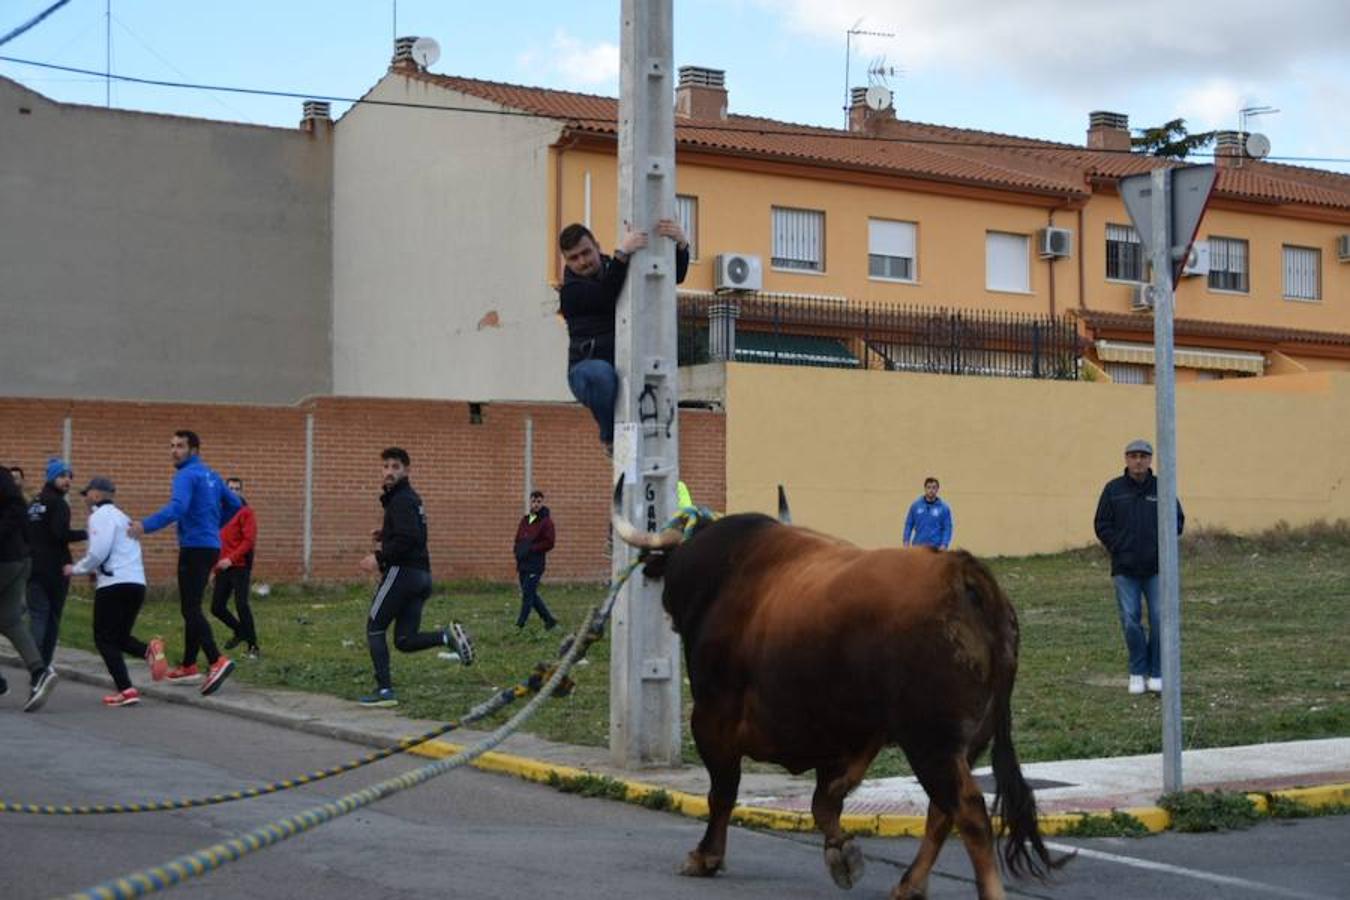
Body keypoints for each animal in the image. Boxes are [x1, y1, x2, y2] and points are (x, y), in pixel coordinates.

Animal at [615, 474, 1063, 895]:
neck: (725, 573)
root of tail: (962, 573)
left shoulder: (713, 716)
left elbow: (724, 791)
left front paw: (706, 855)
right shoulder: (841, 735)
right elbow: (824, 801)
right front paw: (842, 852)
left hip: (932, 742)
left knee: (967, 812)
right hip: (967, 744)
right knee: (941, 812)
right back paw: (908, 884)